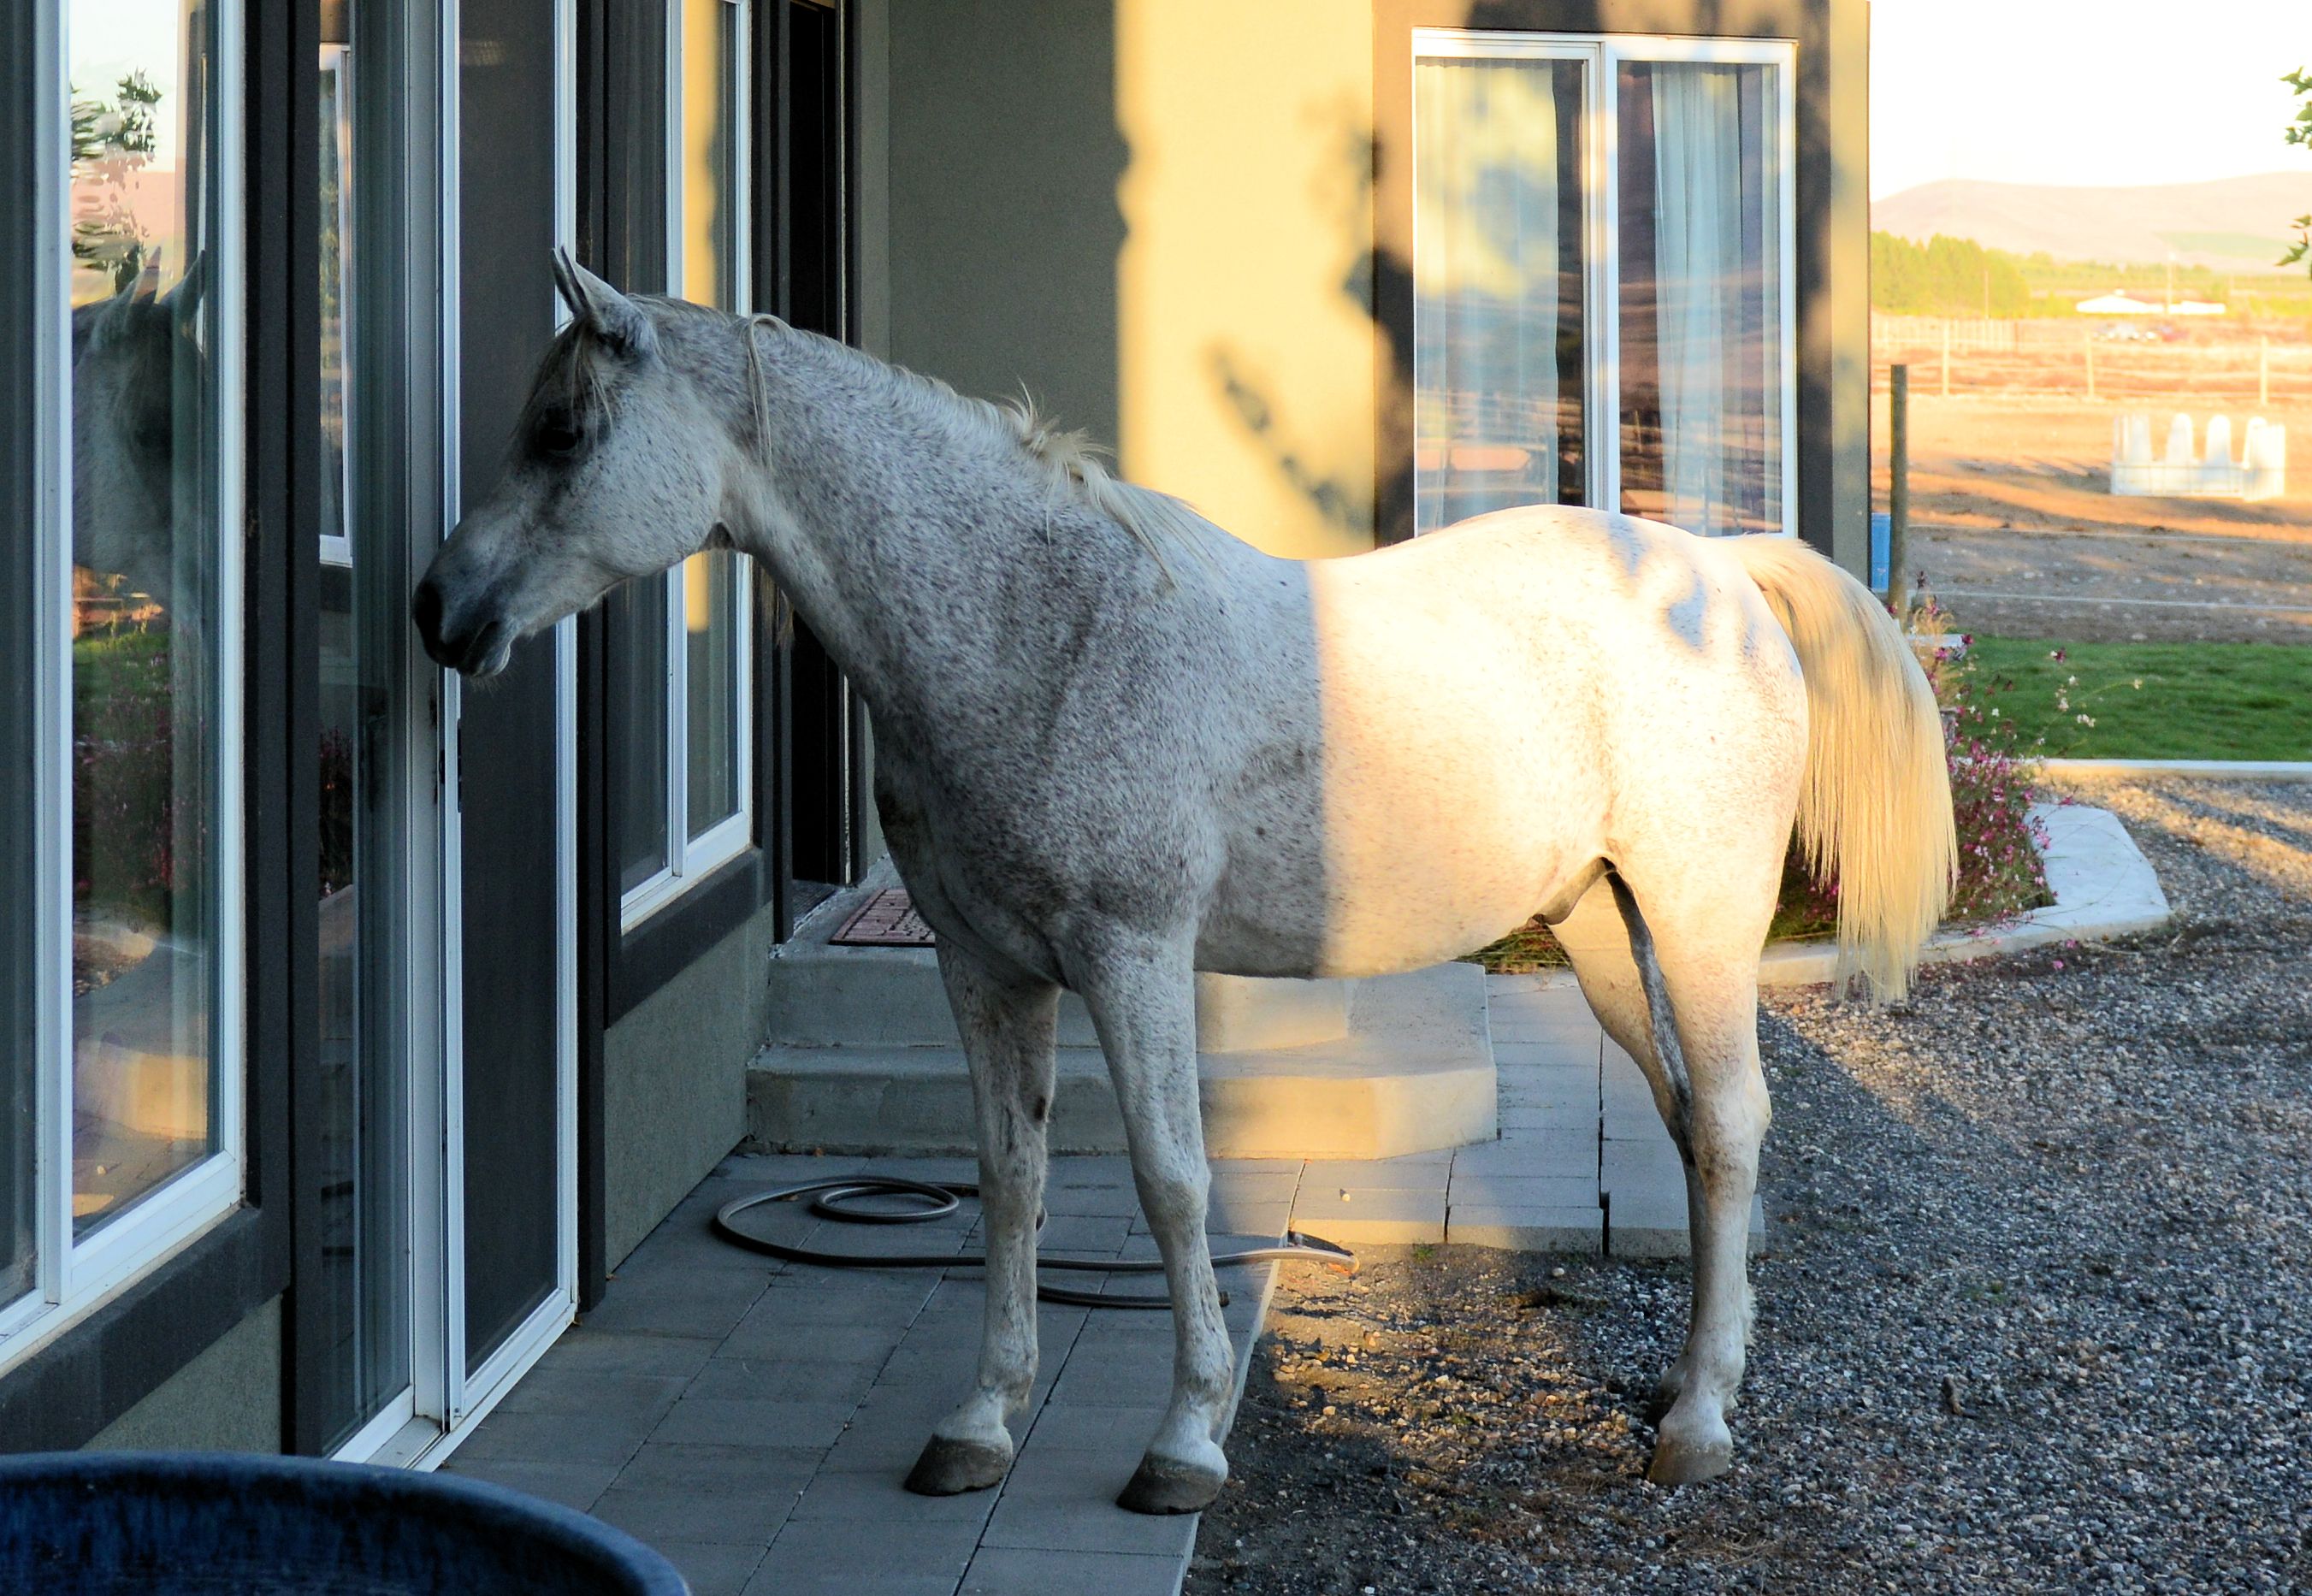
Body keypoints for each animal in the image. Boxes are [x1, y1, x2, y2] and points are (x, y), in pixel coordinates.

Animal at [416, 254, 1951, 1508]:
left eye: (562, 430)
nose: (439, 612)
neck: (1040, 631)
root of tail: (1717, 572)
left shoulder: (1132, 957)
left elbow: (1168, 1180)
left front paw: (1184, 1441)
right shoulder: (981, 967)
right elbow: (1011, 1176)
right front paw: (979, 1423)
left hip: (1695, 923)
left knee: (1733, 1124)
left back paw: (1695, 1427)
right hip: (1592, 928)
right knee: (1693, 1129)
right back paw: (1698, 1379)